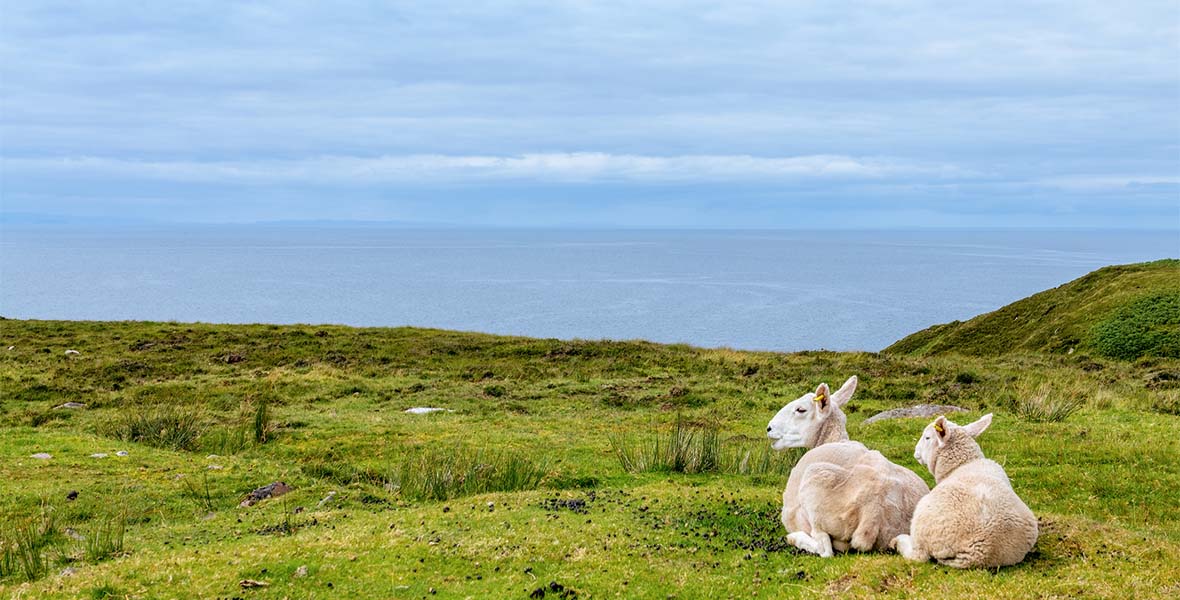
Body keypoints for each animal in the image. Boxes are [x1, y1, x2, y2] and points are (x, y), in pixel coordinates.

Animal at [767, 376, 929, 557]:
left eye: (801, 410)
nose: (769, 428)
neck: (833, 439)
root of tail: (873, 508)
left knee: (825, 549)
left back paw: (795, 537)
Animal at [890, 414, 1038, 568]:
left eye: (927, 438)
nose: (916, 452)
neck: (963, 464)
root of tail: (977, 553)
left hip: (923, 522)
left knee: (918, 555)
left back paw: (898, 541)